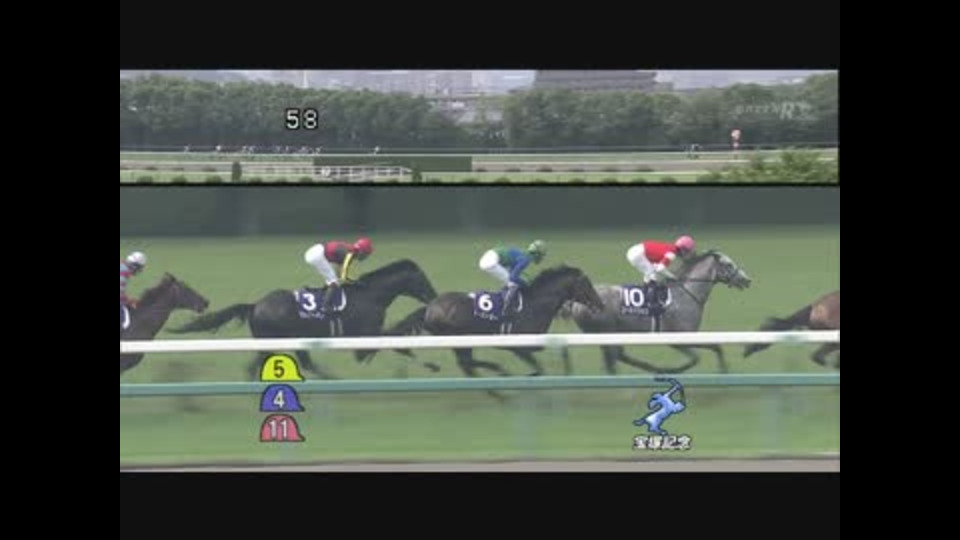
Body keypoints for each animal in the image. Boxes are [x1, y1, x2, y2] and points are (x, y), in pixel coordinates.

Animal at [170, 259, 438, 380]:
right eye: (422, 279)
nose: (434, 296)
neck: (371, 295)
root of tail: (256, 305)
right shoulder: (365, 334)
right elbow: (395, 344)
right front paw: (431, 365)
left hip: (285, 340)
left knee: (293, 363)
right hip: (274, 340)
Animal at [379, 265, 606, 379]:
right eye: (587, 284)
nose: (600, 304)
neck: (535, 304)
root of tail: (430, 307)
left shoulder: (533, 343)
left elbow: (561, 350)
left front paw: (567, 371)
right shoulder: (519, 347)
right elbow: (538, 368)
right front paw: (530, 374)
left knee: (468, 364)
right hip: (460, 338)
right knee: (467, 363)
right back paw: (500, 372)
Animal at [558, 250, 753, 375]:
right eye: (728, 264)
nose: (747, 280)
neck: (685, 293)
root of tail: (574, 302)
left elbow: (715, 347)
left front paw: (724, 368)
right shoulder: (678, 340)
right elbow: (696, 358)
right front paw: (675, 370)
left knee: (617, 357)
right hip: (606, 331)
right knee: (616, 357)